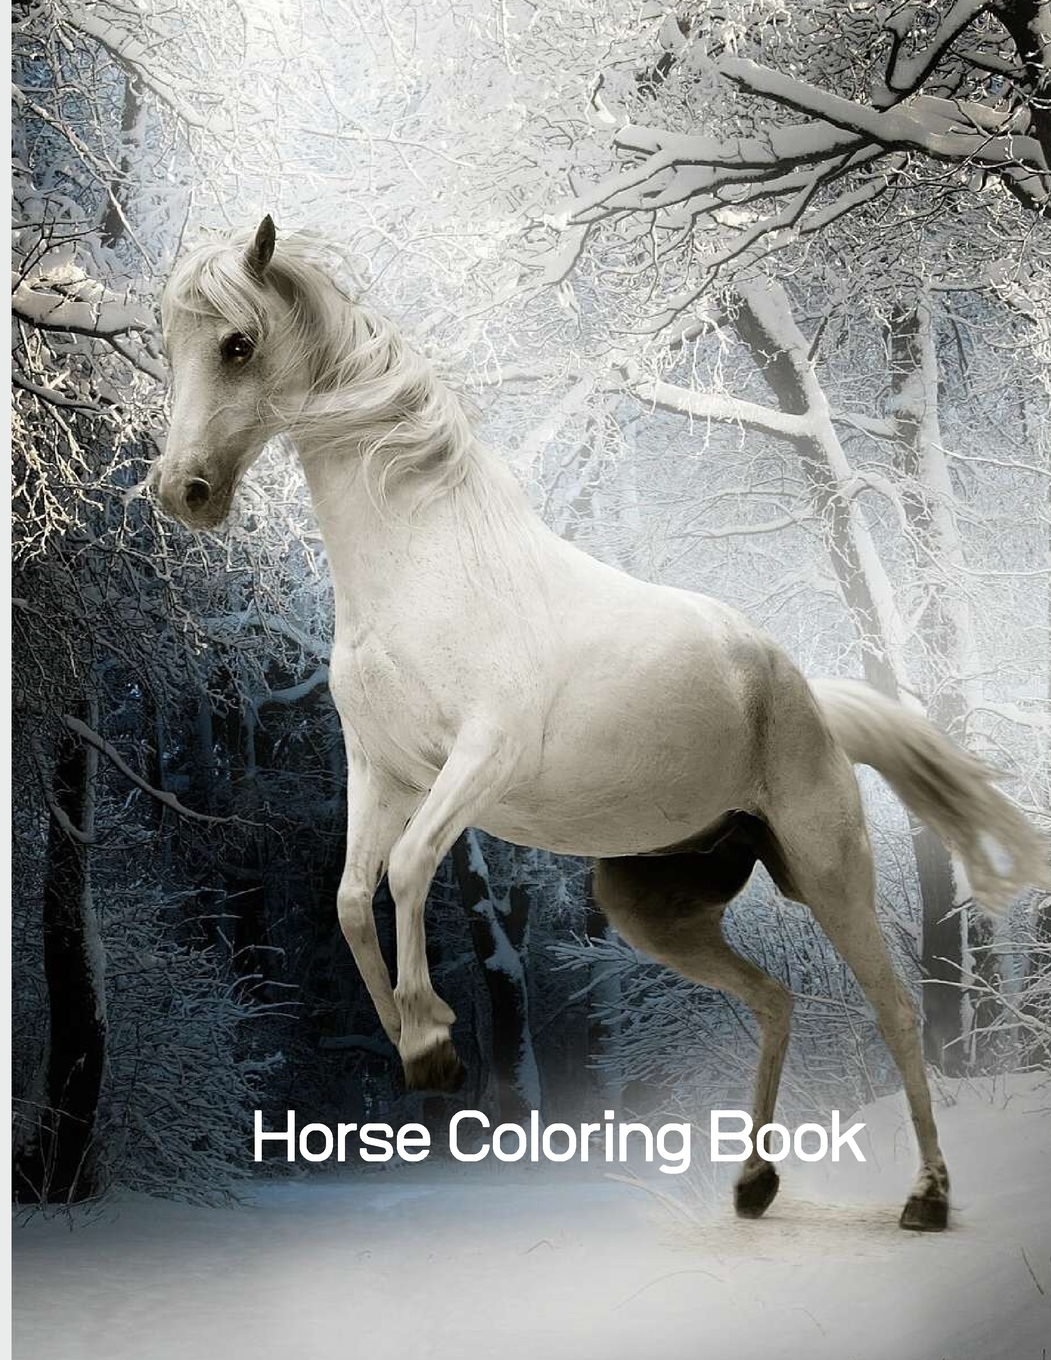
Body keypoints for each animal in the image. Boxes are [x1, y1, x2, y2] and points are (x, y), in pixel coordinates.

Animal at [155, 216, 1047, 1232]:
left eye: (237, 345)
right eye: (168, 346)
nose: (181, 492)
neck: (425, 567)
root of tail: (804, 695)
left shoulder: (479, 760)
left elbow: (410, 868)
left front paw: (432, 1040)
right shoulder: (381, 771)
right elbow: (349, 897)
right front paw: (413, 1045)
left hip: (829, 871)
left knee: (896, 1010)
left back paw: (926, 1197)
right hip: (650, 908)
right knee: (774, 999)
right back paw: (753, 1183)